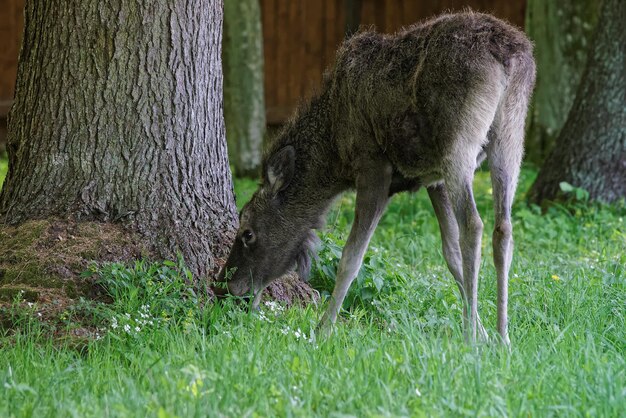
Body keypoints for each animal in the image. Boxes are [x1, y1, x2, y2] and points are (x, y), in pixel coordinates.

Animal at [214, 13, 532, 346]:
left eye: (247, 232)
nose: (226, 285)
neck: (333, 153)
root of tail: (509, 55)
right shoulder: (433, 179)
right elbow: (450, 254)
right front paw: (483, 330)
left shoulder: (372, 168)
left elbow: (350, 257)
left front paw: (323, 329)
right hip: (510, 136)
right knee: (503, 228)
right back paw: (503, 336)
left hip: (459, 144)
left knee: (474, 225)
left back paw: (470, 338)